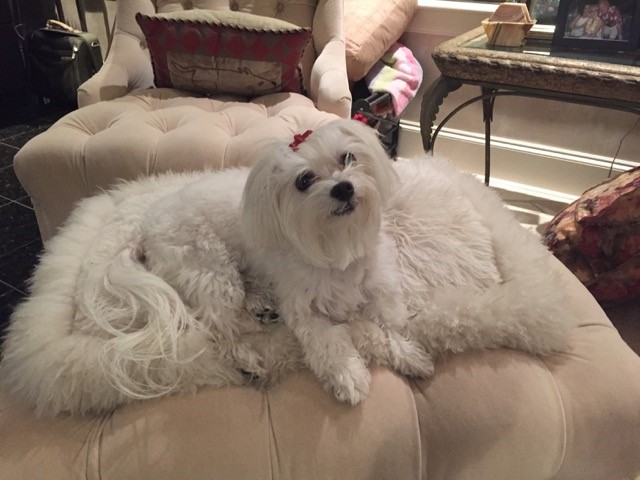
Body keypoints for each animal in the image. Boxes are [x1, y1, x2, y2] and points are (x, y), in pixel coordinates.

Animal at [1, 117, 576, 416]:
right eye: (304, 181)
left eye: (348, 158)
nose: (342, 189)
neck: (335, 248)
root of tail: (147, 222)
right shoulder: (309, 313)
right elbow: (334, 340)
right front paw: (349, 376)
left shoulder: (380, 288)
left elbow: (386, 324)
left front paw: (408, 353)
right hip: (211, 271)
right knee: (219, 330)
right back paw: (249, 355)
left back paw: (261, 308)